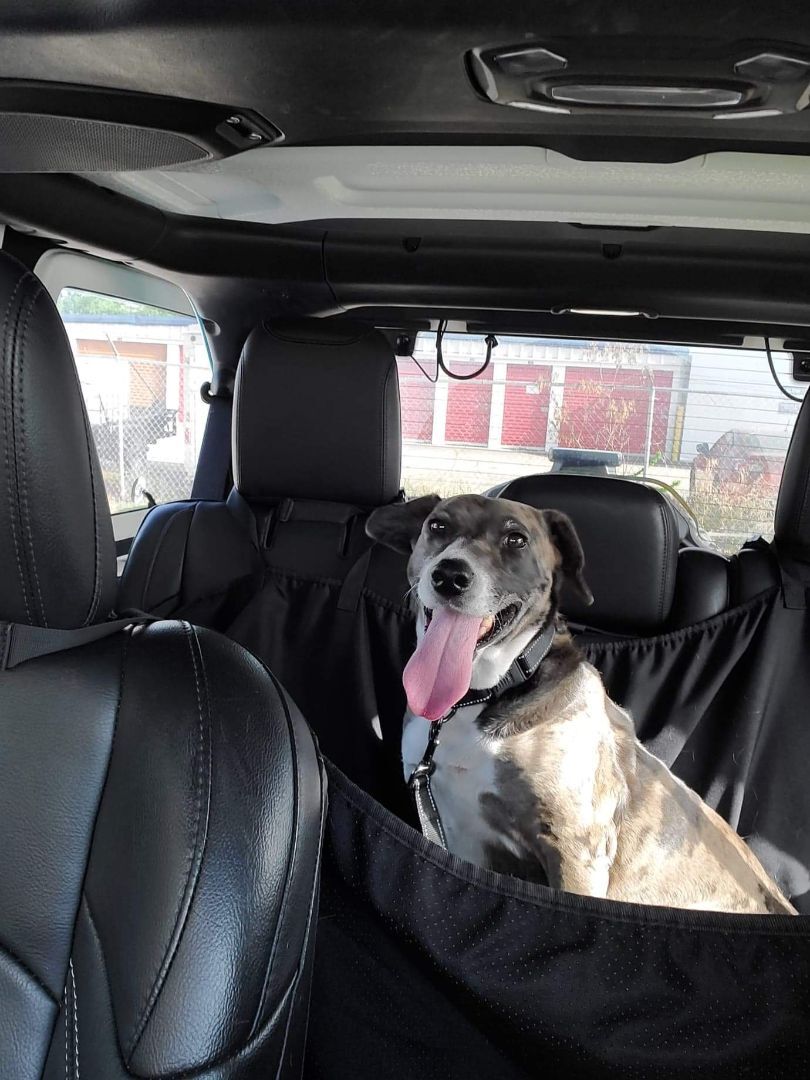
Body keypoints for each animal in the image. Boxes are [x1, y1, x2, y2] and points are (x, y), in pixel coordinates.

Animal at [366, 493, 797, 915]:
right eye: (438, 525)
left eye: (516, 540)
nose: (450, 575)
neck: (479, 696)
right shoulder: (458, 833)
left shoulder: (576, 848)